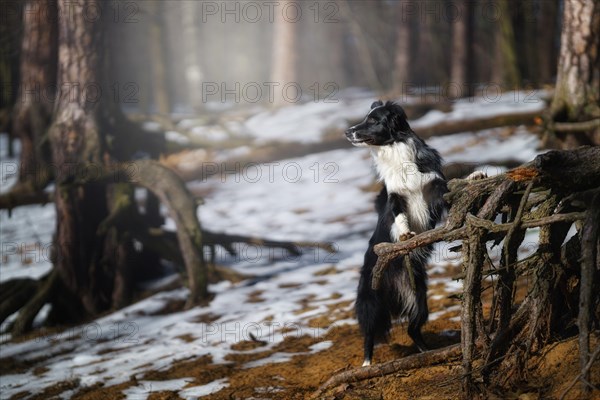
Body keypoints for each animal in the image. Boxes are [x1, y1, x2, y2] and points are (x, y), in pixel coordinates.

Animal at [344, 100, 448, 366]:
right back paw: (367, 364)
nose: (347, 132)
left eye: (373, 120)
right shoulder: (395, 198)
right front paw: (405, 235)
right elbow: (400, 217)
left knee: (413, 329)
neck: (395, 151)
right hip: (371, 301)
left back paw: (427, 352)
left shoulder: (433, 185)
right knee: (369, 334)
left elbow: (450, 188)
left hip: (419, 298)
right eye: (365, 118)